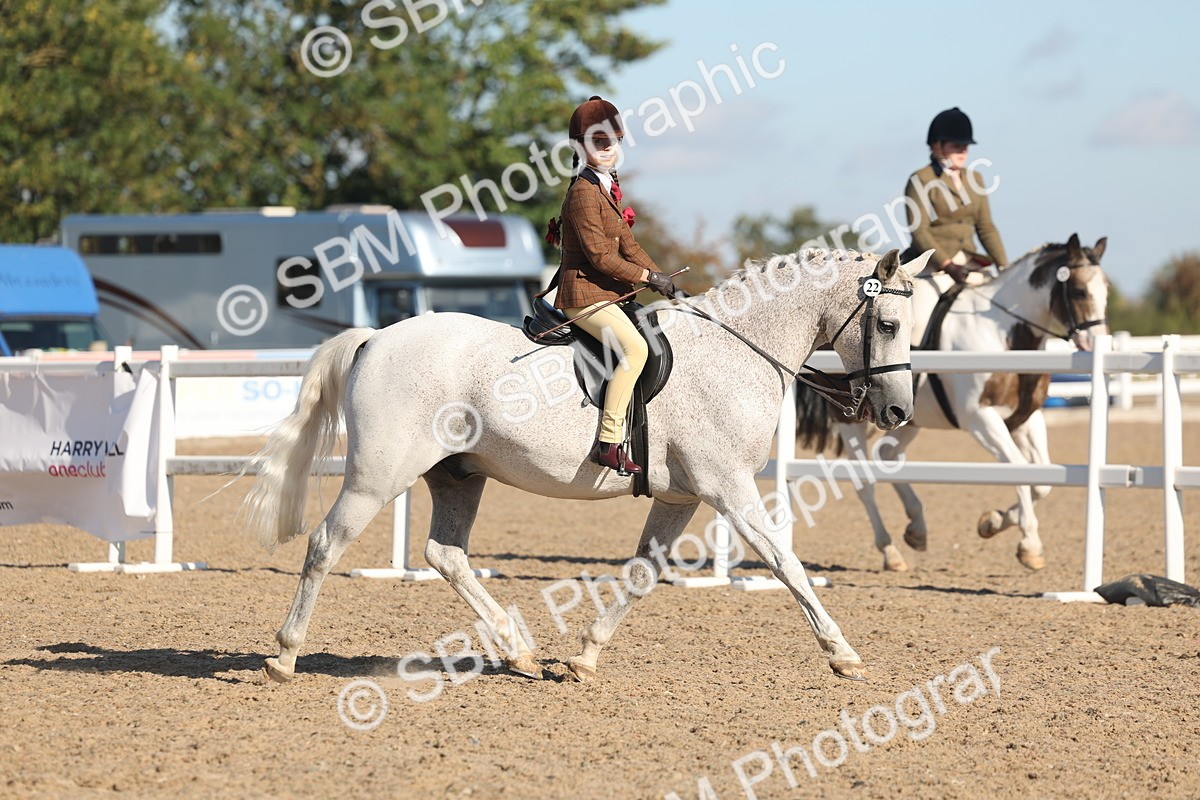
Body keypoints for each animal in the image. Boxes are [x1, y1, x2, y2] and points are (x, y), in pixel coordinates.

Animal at [243, 246, 933, 684]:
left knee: (446, 555)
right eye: (887, 323)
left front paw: (584, 659)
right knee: (326, 544)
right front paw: (843, 653)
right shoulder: (729, 488)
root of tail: (375, 337)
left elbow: (643, 573)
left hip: (459, 476)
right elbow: (784, 561)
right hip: (378, 476)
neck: (736, 350)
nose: (898, 411)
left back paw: (519, 653)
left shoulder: (680, 497)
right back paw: (283, 657)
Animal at [796, 234, 1109, 572]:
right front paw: (1030, 545)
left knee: (887, 455)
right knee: (864, 479)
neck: (1002, 335)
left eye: (1106, 289)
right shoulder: (980, 418)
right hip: (849, 417)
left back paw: (917, 527)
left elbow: (1041, 480)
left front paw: (993, 522)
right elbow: (1019, 468)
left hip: (905, 416)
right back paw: (890, 550)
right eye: (1079, 291)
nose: (1096, 341)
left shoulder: (1026, 418)